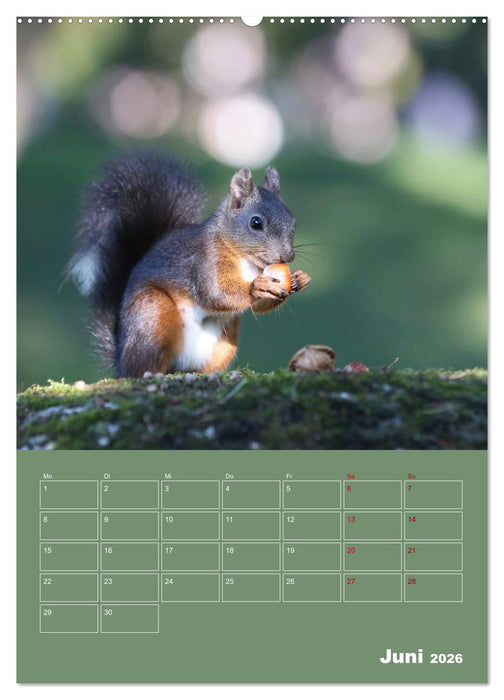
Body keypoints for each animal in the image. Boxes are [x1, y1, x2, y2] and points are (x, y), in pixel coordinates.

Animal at [69, 153, 311, 377]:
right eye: (256, 223)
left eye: (293, 222)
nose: (288, 255)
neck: (247, 262)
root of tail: (121, 356)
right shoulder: (205, 259)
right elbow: (215, 292)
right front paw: (257, 287)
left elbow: (259, 307)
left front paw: (299, 279)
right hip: (152, 314)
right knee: (140, 367)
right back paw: (149, 373)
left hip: (225, 340)